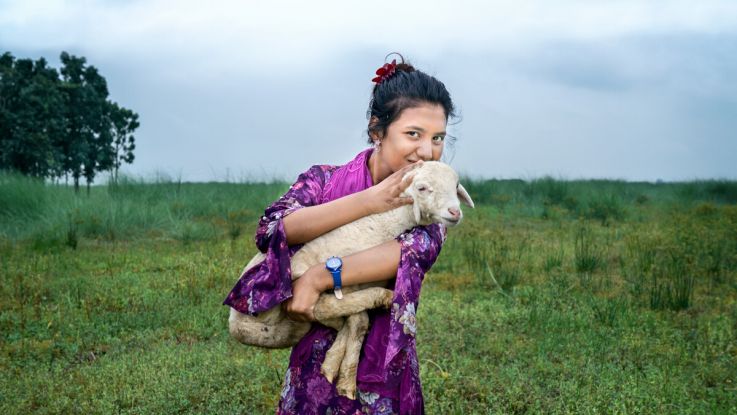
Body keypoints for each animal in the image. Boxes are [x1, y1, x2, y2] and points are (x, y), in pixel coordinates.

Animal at [227, 161, 474, 398]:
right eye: (422, 188)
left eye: (456, 186)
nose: (454, 212)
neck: (381, 225)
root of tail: (235, 325)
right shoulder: (317, 277)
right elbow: (353, 316)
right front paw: (343, 372)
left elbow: (355, 321)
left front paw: (338, 370)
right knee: (326, 308)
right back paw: (383, 298)